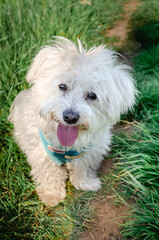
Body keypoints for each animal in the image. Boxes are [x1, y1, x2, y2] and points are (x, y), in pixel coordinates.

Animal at [8, 37, 136, 206]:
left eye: (92, 95)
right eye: (62, 86)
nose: (70, 117)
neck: (66, 146)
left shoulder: (90, 150)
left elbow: (83, 167)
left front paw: (85, 183)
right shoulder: (41, 154)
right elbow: (50, 174)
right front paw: (52, 196)